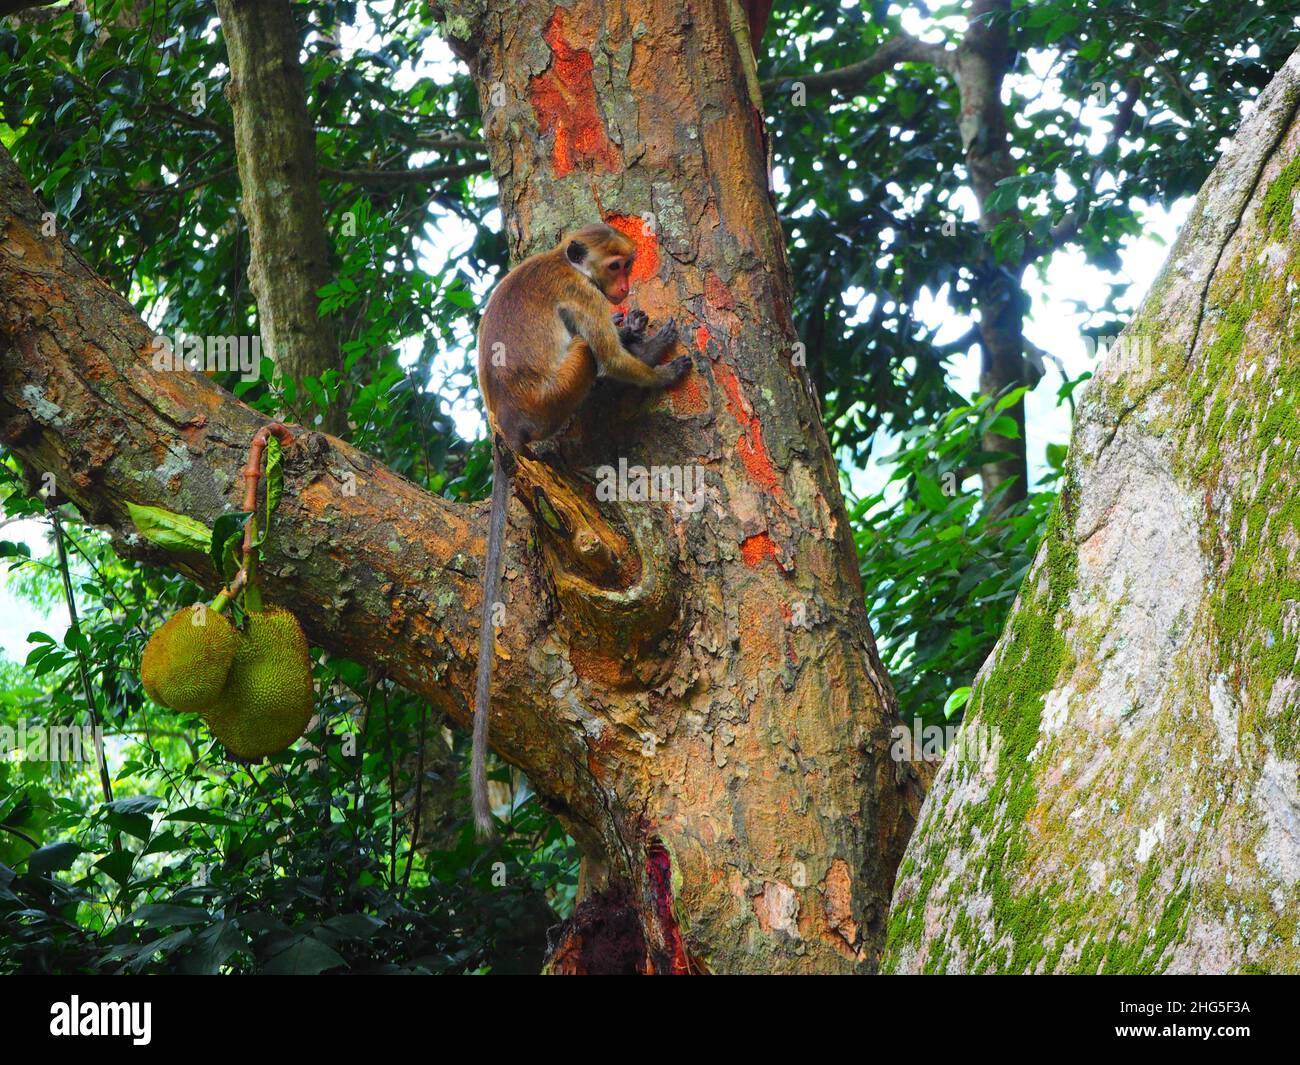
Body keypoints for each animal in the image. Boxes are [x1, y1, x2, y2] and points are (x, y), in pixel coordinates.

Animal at [470, 224, 691, 842]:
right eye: (615, 266)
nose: (622, 289)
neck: (561, 261)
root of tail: (509, 430)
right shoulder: (579, 292)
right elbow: (609, 357)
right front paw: (656, 365)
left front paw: (635, 328)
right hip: (558, 391)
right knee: (590, 355)